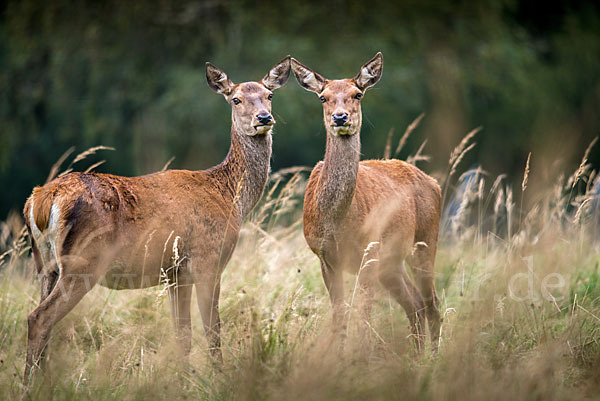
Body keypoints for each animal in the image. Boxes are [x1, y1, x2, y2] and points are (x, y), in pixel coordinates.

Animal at [23, 55, 292, 382]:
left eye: (269, 95)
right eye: (236, 99)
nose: (264, 118)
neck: (230, 198)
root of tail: (41, 199)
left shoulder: (176, 273)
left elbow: (183, 334)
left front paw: (184, 379)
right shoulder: (207, 259)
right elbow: (212, 329)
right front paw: (219, 377)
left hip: (44, 265)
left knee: (42, 321)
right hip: (83, 261)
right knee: (39, 318)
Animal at [290, 53, 440, 350]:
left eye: (357, 94)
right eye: (323, 97)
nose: (340, 117)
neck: (335, 222)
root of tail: (435, 183)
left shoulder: (369, 250)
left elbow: (363, 316)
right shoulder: (325, 256)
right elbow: (340, 316)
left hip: (425, 240)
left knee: (432, 305)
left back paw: (433, 355)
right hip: (392, 262)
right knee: (415, 303)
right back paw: (418, 355)